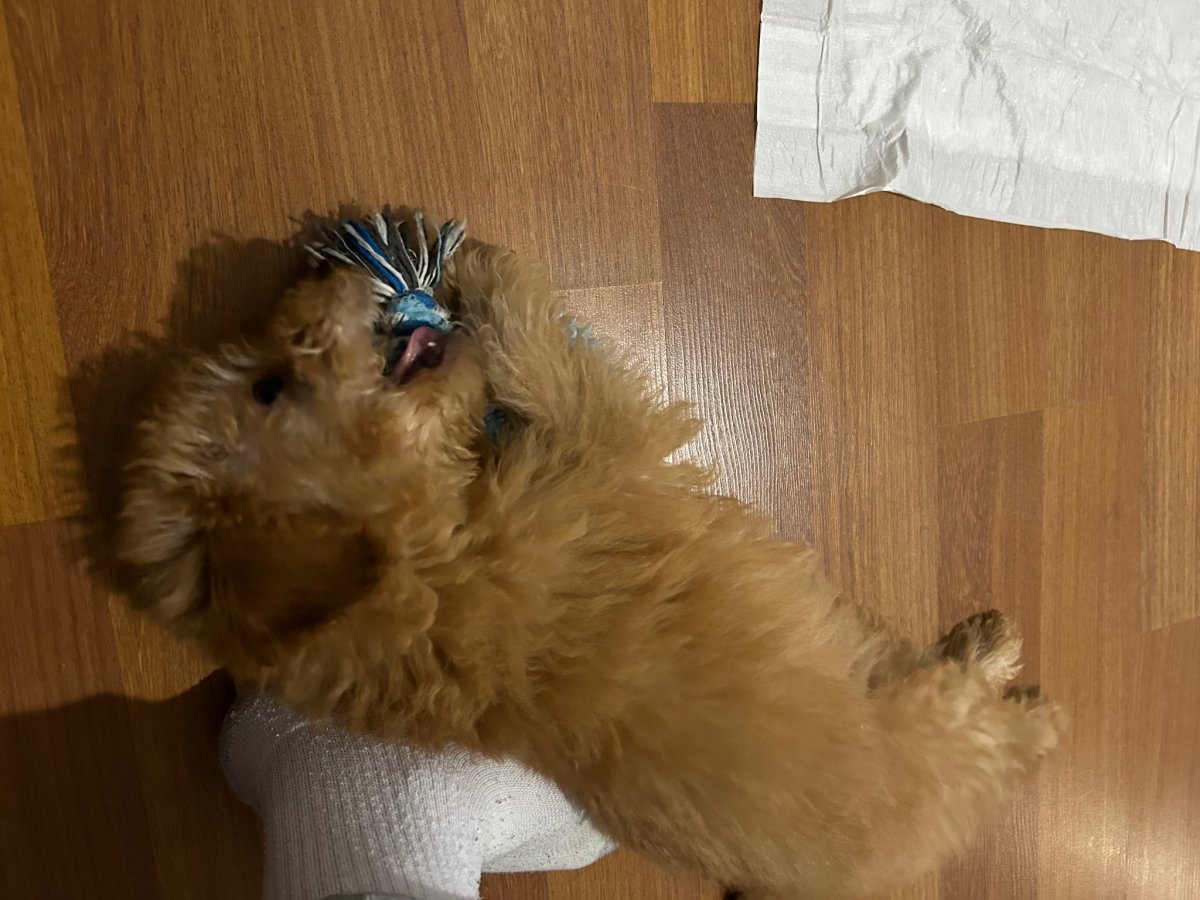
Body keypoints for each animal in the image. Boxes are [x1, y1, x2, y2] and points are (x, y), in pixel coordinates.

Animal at [118, 236, 1063, 898]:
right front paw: (486, 275)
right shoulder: (599, 439)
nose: (312, 274)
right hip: (939, 724)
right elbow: (543, 360)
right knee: (998, 727)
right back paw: (1010, 669)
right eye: (270, 388)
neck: (420, 571)